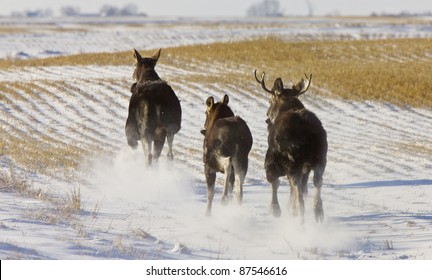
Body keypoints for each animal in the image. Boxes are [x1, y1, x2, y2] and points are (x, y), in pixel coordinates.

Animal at [253, 70, 328, 223]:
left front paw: (275, 209)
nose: (267, 116)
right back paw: (318, 212)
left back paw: (300, 219)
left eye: (270, 100)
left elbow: (274, 183)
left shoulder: (271, 161)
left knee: (298, 191)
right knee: (316, 182)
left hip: (293, 162)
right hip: (320, 158)